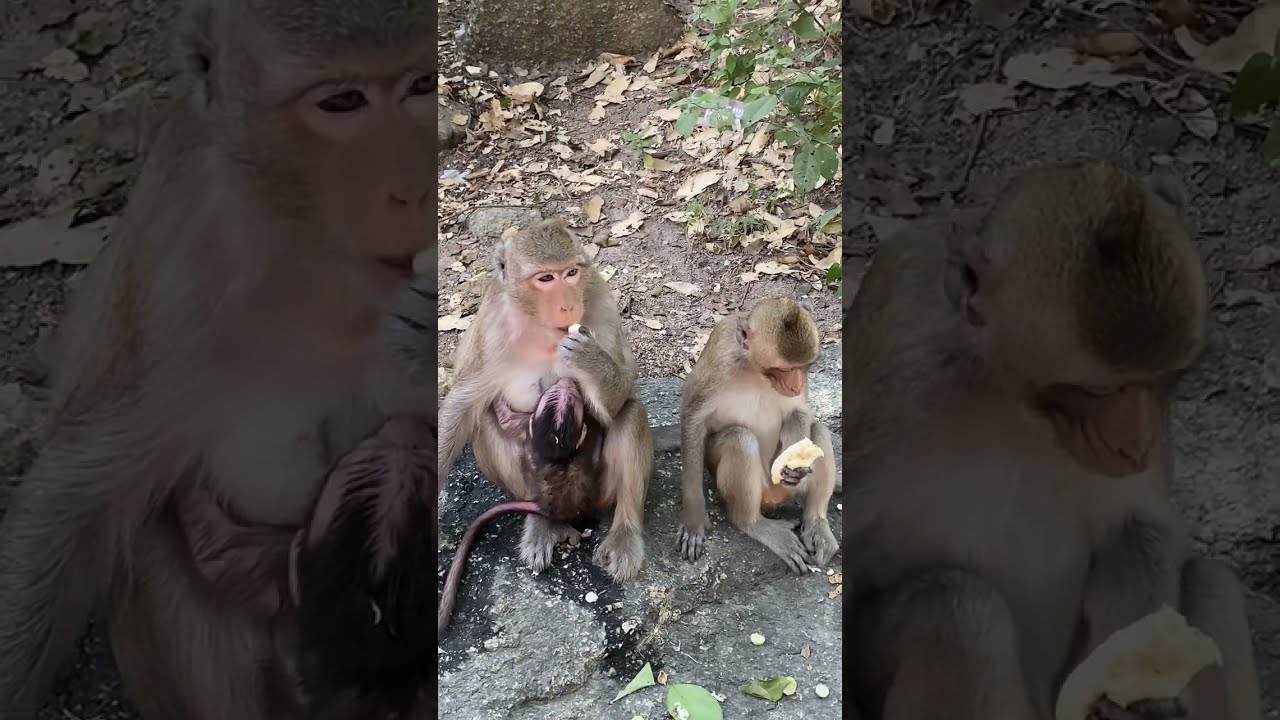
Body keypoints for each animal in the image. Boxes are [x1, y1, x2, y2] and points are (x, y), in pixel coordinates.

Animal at [438, 216, 654, 584]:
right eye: (546, 279)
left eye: (571, 273)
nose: (568, 305)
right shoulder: (491, 327)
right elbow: (462, 404)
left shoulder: (601, 301)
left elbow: (624, 387)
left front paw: (591, 360)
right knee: (485, 422)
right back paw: (544, 522)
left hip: (602, 493)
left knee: (629, 413)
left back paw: (624, 532)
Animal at [673, 296, 839, 574]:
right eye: (782, 368)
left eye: (804, 366)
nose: (795, 385)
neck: (755, 371)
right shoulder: (720, 362)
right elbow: (693, 419)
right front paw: (694, 520)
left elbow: (799, 411)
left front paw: (795, 467)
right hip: (757, 489)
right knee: (740, 439)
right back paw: (753, 523)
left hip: (784, 488)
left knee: (818, 430)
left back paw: (816, 522)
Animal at [842, 161, 1260, 720]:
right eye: (1097, 390)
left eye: (1166, 378)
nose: (1137, 445)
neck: (1011, 406)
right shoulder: (898, 393)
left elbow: (1139, 525)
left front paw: (1141, 694)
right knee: (958, 613)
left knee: (1207, 582)